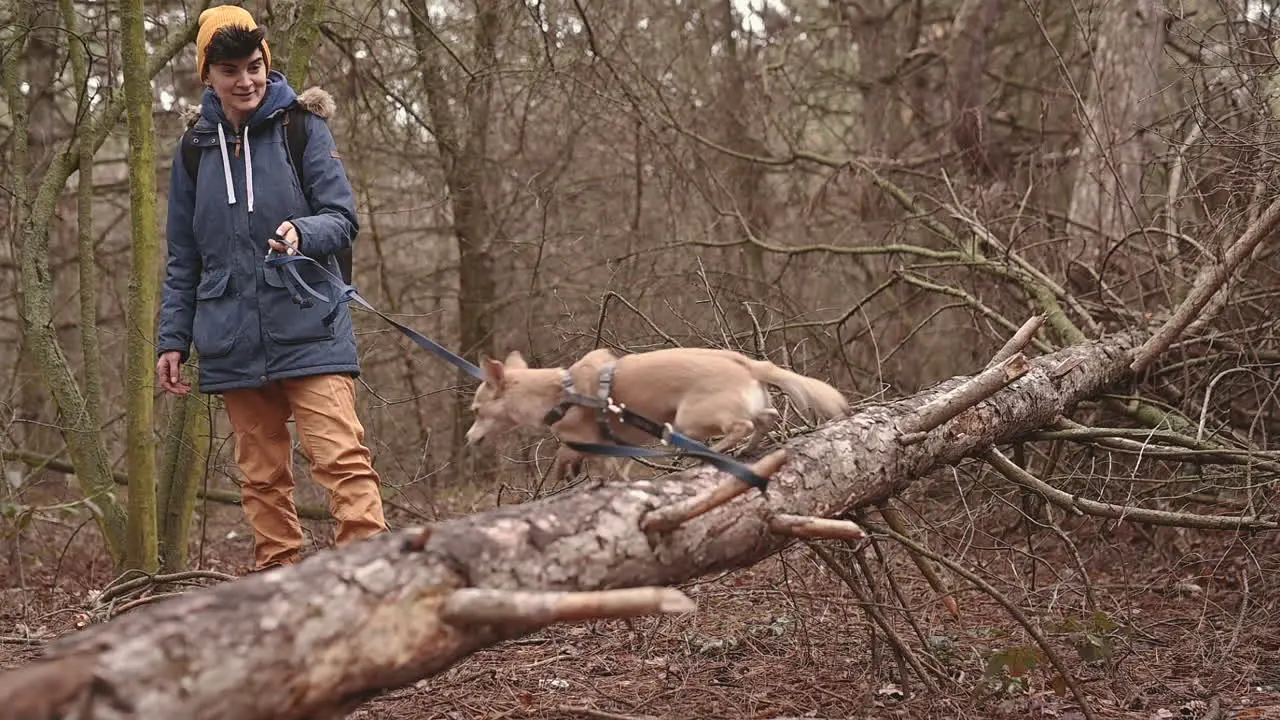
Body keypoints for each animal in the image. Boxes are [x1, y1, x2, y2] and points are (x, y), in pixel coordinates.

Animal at [463, 345, 849, 479]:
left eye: (477, 411)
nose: (468, 437)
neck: (560, 390)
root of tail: (748, 364)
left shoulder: (588, 441)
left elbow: (568, 452)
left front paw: (566, 467)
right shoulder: (615, 449)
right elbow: (613, 471)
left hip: (688, 419)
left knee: (738, 426)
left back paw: (715, 450)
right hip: (748, 408)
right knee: (766, 419)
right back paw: (748, 446)